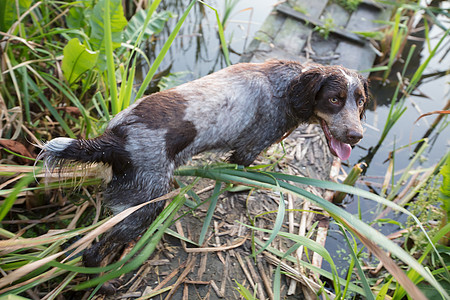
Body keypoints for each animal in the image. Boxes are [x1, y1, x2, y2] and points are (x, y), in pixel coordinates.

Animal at [37, 59, 370, 292]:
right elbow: (241, 175)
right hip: (145, 206)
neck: (288, 88)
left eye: (361, 100)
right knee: (92, 253)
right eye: (334, 99)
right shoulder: (248, 149)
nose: (357, 136)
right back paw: (103, 284)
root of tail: (114, 141)